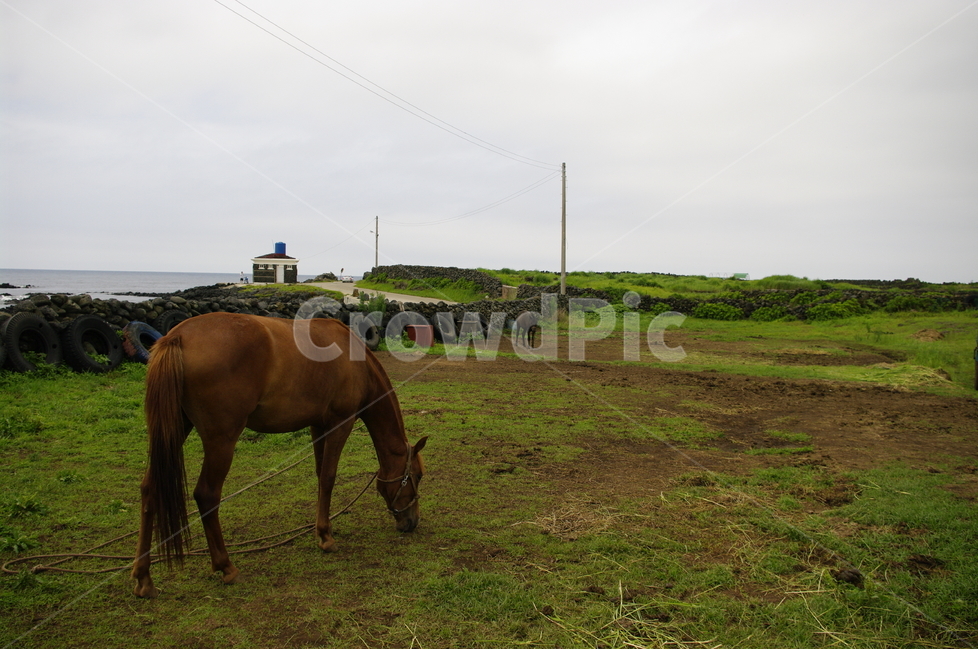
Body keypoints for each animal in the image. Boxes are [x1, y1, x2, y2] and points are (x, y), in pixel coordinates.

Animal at [131, 312, 427, 598]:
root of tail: (178, 336)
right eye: (418, 476)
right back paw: (226, 566)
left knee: (150, 489)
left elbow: (320, 475)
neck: (355, 361)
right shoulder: (340, 424)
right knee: (206, 495)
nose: (412, 522)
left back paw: (144, 578)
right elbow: (329, 478)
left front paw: (323, 528)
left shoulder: (318, 426)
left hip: (175, 429)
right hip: (221, 441)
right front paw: (326, 537)